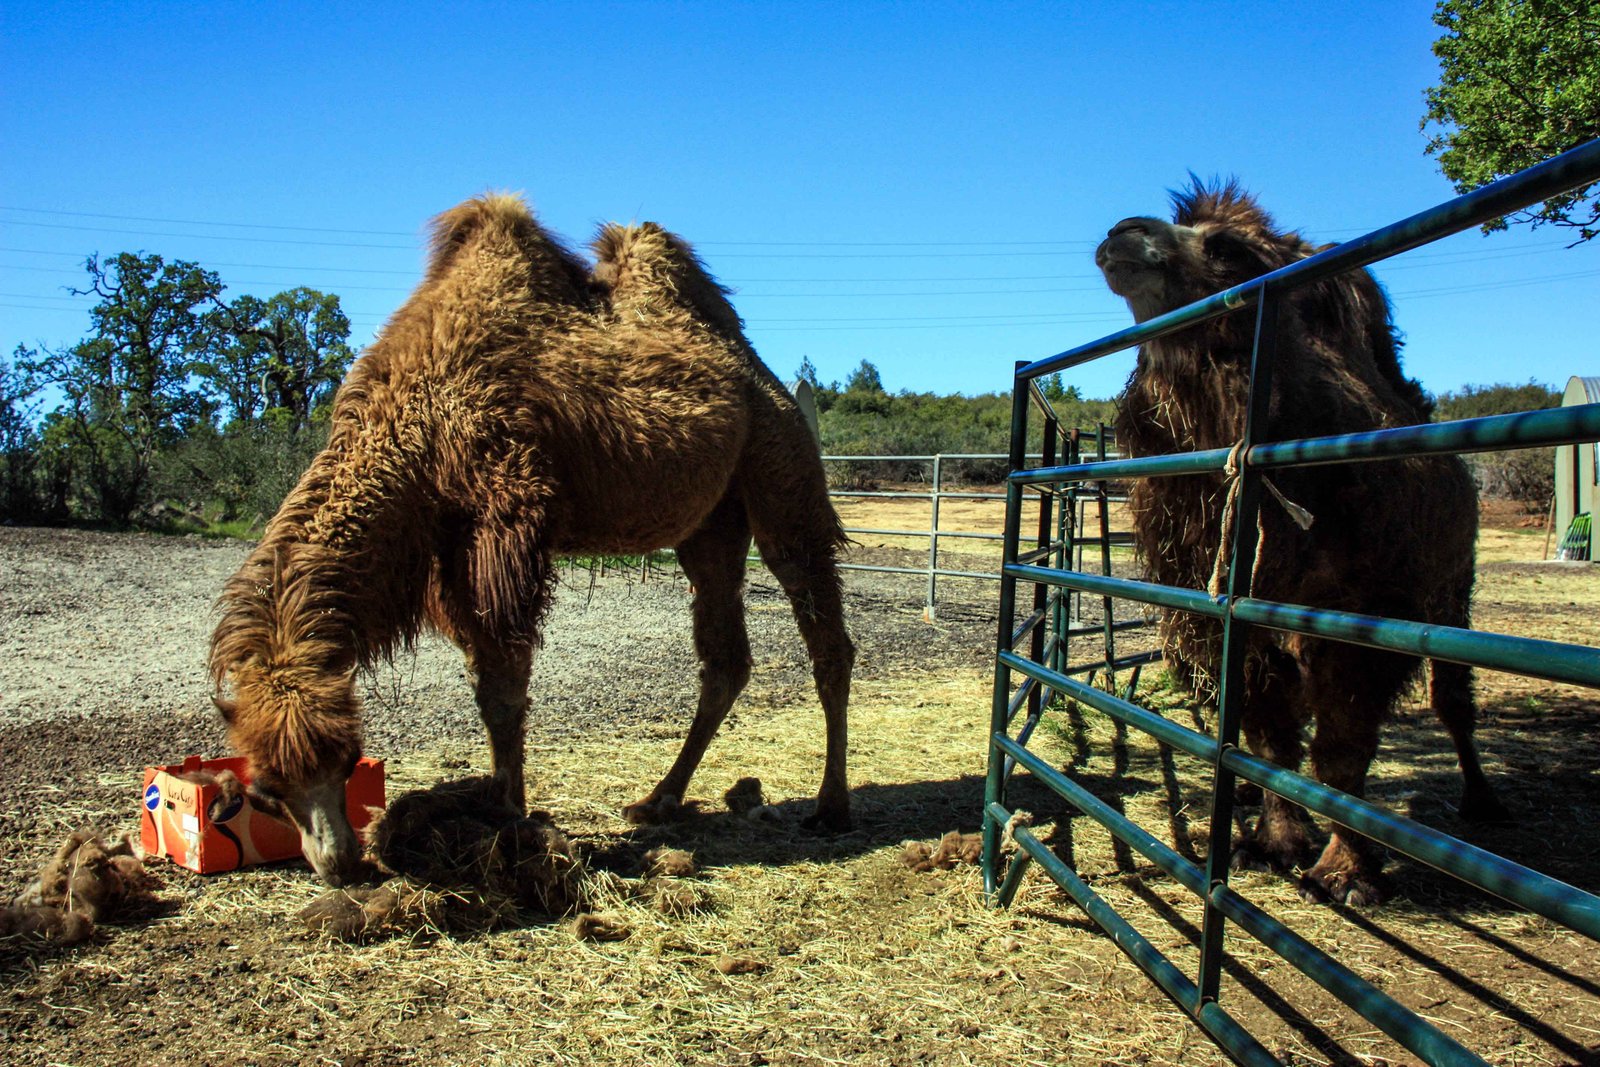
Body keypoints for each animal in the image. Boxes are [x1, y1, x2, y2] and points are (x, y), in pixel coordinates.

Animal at [214, 194, 864, 883]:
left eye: (346, 760)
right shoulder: (451, 556)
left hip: (781, 466)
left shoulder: (506, 518)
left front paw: (509, 813)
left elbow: (503, 688)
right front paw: (503, 806)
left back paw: (831, 807)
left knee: (823, 628)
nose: (338, 864)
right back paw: (657, 800)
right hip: (711, 525)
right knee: (725, 658)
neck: (415, 428)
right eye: (265, 792)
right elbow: (486, 683)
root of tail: (769, 378)